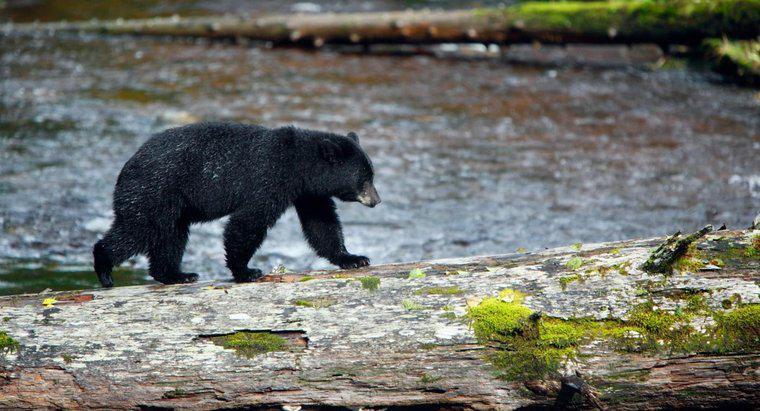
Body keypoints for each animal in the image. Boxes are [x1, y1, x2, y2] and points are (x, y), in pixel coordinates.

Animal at [93, 123, 380, 286]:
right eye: (364, 179)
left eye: (371, 175)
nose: (377, 200)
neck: (299, 163)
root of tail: (127, 165)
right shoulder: (269, 179)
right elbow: (248, 221)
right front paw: (246, 271)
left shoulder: (308, 192)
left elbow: (321, 223)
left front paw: (353, 258)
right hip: (153, 190)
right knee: (138, 229)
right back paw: (104, 268)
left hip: (171, 205)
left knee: (171, 236)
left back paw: (176, 275)